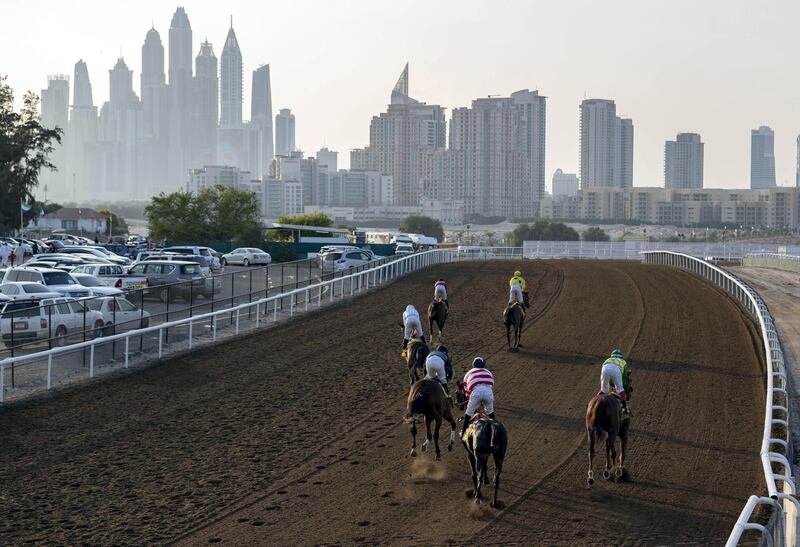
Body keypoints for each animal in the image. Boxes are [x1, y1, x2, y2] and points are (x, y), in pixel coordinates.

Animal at [456, 378, 506, 508]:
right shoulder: (486, 454)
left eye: (457, 392)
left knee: (478, 475)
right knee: (497, 478)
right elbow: (485, 467)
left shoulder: (470, 454)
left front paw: (475, 491)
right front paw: (486, 480)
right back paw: (494, 502)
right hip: (499, 456)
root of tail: (490, 425)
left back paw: (477, 497)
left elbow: (474, 474)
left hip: (479, 455)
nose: (458, 405)